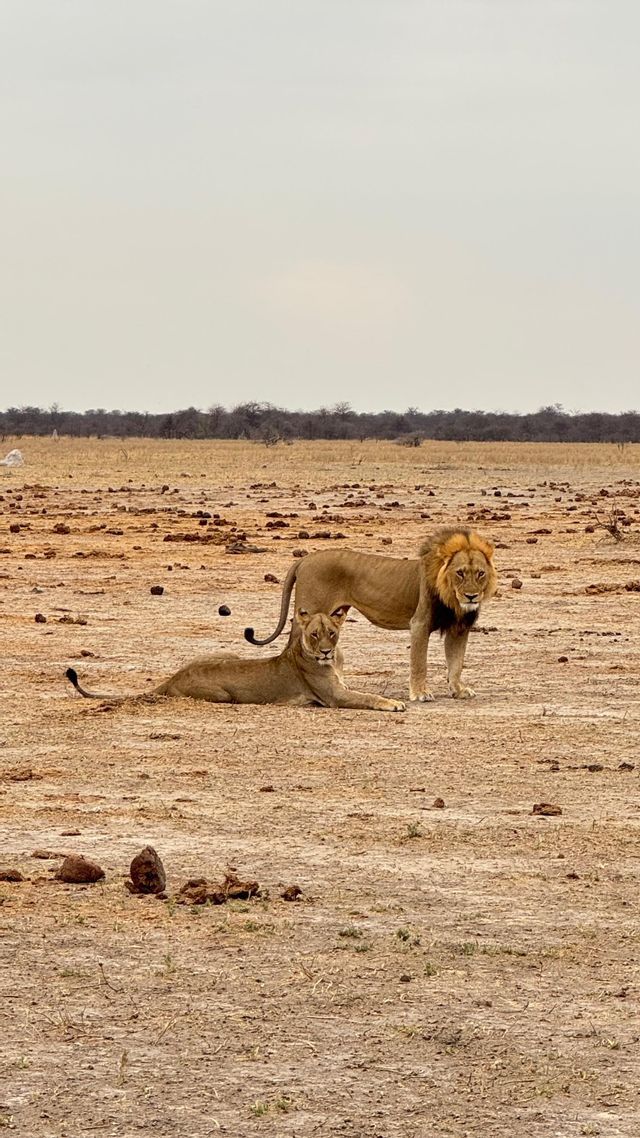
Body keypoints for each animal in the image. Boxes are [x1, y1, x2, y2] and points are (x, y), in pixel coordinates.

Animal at [65, 607, 406, 713]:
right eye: (314, 635)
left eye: (332, 633)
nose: (324, 651)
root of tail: (174, 676)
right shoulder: (334, 697)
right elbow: (367, 697)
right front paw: (394, 704)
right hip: (223, 695)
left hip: (229, 653)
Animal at [244, 528, 497, 701]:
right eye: (460, 573)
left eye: (480, 573)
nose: (472, 596)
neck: (452, 597)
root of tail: (304, 559)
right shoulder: (419, 623)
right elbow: (419, 662)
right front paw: (420, 693)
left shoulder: (459, 628)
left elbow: (456, 662)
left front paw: (459, 690)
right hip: (308, 615)